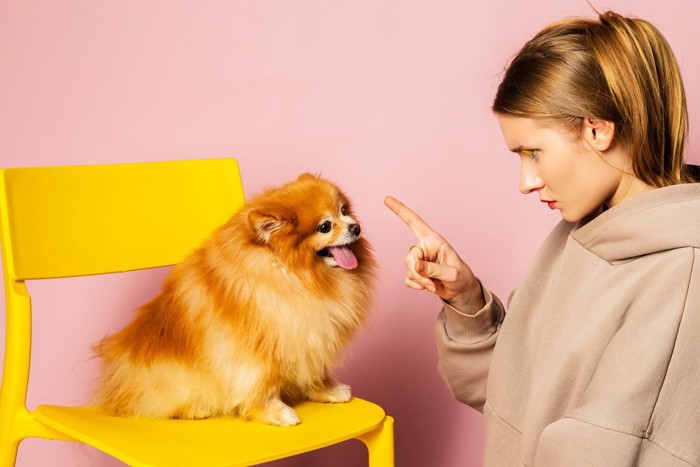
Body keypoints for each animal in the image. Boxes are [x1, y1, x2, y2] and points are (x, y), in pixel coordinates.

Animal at [95, 174, 378, 426]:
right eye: (325, 226)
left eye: (344, 210)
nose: (355, 226)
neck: (293, 273)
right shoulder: (256, 346)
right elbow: (259, 383)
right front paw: (274, 412)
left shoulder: (309, 333)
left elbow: (313, 369)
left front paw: (326, 390)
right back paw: (195, 409)